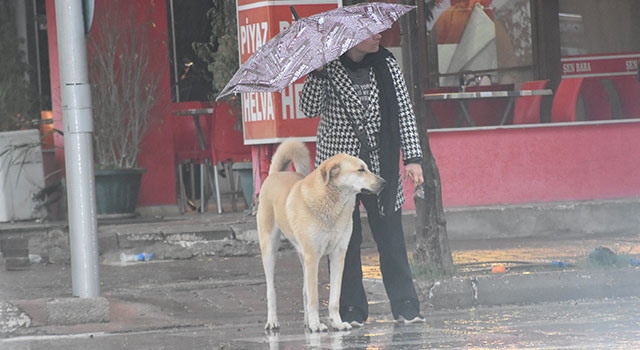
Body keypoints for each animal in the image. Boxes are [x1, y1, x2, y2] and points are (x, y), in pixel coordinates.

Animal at [256, 140, 384, 334]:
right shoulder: (313, 257)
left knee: (304, 290)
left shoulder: (338, 255)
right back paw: (273, 322)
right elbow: (315, 298)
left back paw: (307, 322)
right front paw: (317, 325)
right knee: (272, 291)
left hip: (302, 256)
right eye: (360, 169)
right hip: (270, 249)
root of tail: (275, 174)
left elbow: (334, 298)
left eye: (367, 167)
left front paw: (337, 323)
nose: (384, 182)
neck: (332, 202)